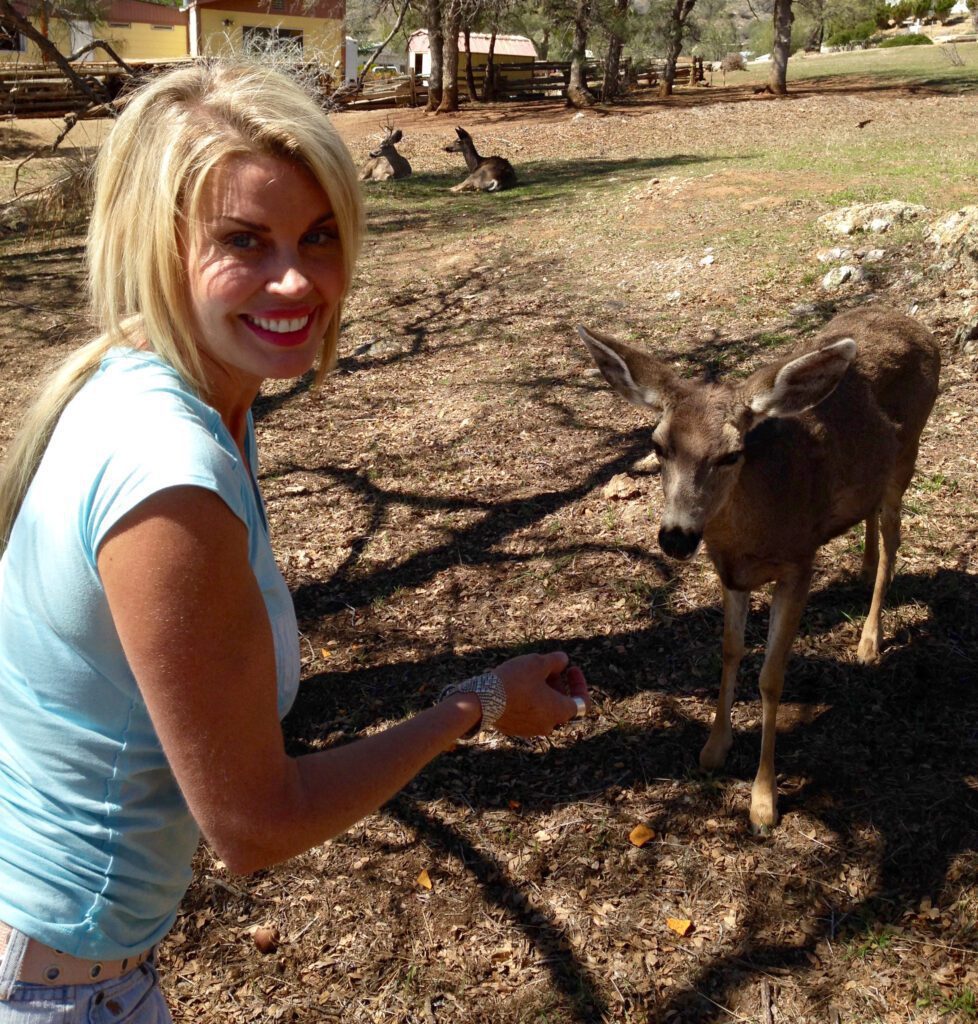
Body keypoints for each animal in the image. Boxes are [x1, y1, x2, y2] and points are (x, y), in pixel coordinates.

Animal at [581, 305, 942, 831]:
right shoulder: (729, 573)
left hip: (908, 453)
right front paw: (713, 748)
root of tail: (915, 324)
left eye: (732, 454)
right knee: (872, 514)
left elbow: (771, 676)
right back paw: (861, 569)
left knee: (895, 539)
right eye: (658, 445)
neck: (754, 531)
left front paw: (764, 800)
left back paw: (869, 640)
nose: (676, 537)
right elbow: (730, 650)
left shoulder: (799, 564)